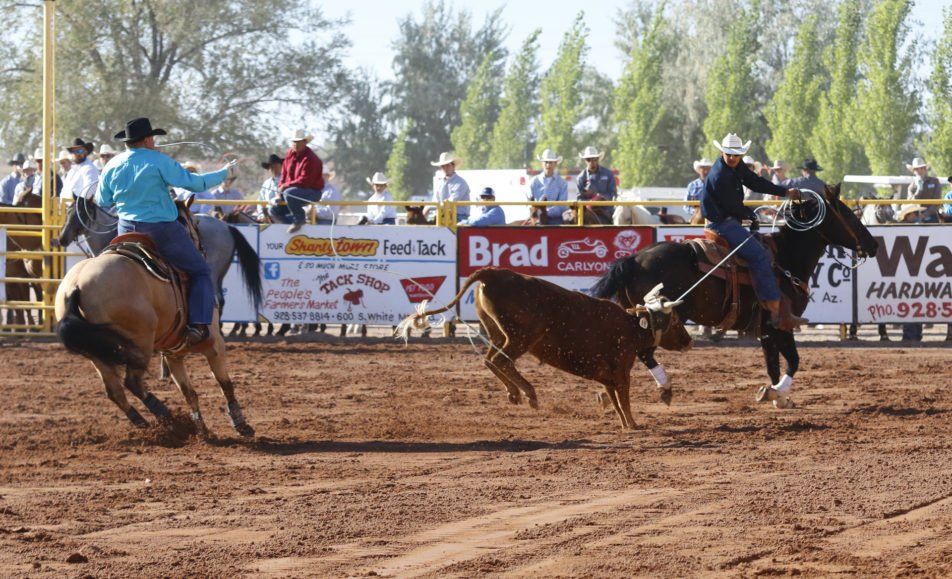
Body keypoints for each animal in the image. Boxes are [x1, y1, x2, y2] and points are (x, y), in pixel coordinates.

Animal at [592, 186, 880, 408]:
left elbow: (773, 365)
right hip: (660, 322)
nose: (874, 244)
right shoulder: (781, 325)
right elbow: (794, 361)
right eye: (847, 214)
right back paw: (665, 387)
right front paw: (778, 393)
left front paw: (778, 398)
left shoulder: (766, 331)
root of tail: (632, 260)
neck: (785, 258)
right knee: (643, 352)